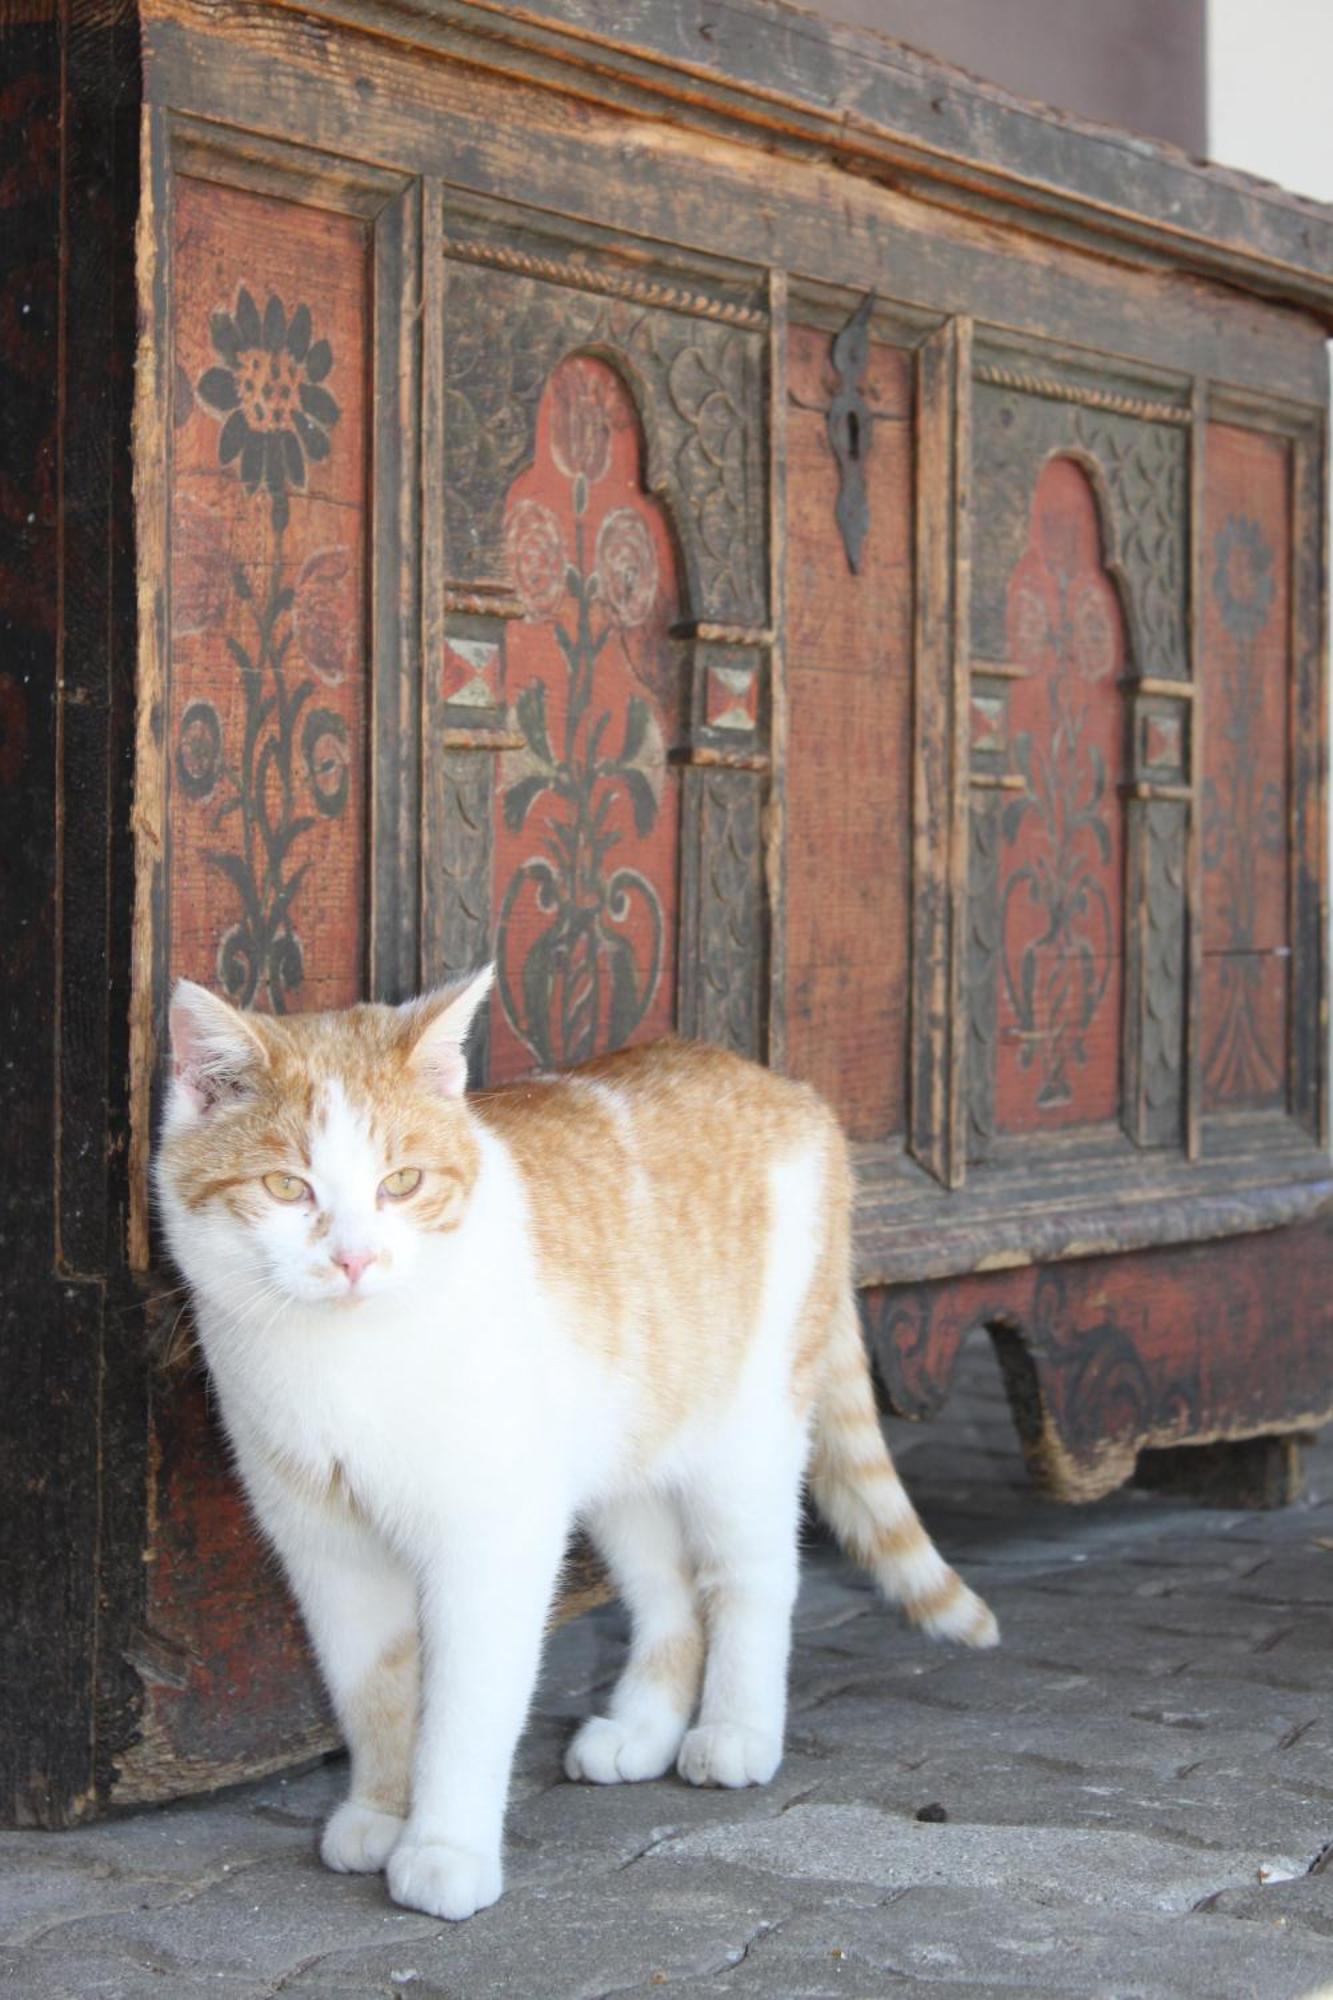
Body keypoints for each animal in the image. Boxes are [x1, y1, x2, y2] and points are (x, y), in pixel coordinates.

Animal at [150, 968, 992, 1920]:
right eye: (287, 1189)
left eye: (402, 1182)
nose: (355, 1261)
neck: (346, 1359)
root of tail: (783, 1087)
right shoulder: (328, 1550)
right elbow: (372, 1690)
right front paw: (378, 1813)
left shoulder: (493, 1539)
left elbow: (465, 1707)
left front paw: (442, 1848)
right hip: (625, 1468)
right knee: (670, 1595)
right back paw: (641, 1731)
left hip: (745, 1439)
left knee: (750, 1580)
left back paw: (735, 1730)